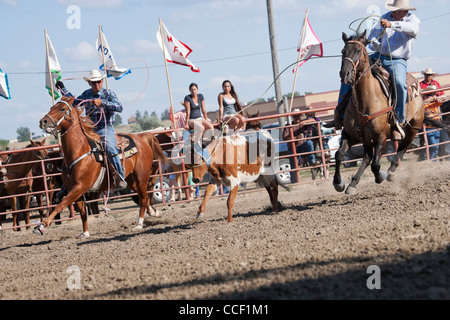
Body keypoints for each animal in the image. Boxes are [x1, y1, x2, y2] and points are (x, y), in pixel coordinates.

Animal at [37, 95, 167, 238]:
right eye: (51, 107)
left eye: (62, 109)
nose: (43, 121)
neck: (79, 151)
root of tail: (142, 138)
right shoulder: (74, 188)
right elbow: (82, 211)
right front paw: (85, 233)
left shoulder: (80, 186)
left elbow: (61, 205)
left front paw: (42, 226)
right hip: (131, 180)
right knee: (142, 195)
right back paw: (154, 212)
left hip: (141, 177)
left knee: (143, 198)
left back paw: (139, 224)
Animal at [334, 31, 426, 194]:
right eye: (343, 51)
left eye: (358, 51)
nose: (345, 74)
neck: (365, 102)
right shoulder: (349, 134)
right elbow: (339, 154)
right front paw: (338, 183)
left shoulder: (382, 137)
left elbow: (376, 165)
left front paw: (380, 176)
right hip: (366, 139)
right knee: (366, 157)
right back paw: (353, 184)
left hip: (413, 128)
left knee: (403, 147)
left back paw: (391, 171)